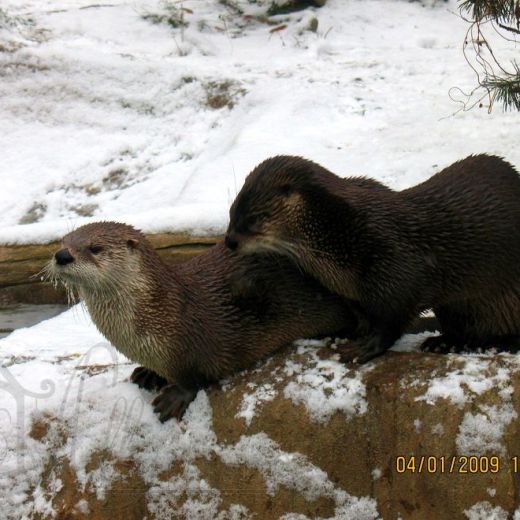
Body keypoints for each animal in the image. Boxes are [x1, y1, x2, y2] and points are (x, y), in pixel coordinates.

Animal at [46, 221, 360, 420]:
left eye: (95, 248)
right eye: (63, 241)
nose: (61, 255)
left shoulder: (190, 342)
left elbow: (195, 376)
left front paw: (173, 397)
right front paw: (149, 374)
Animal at [225, 154, 520, 362]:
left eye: (256, 218)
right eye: (231, 211)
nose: (229, 241)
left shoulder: (396, 266)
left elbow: (394, 317)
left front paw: (364, 348)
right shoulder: (352, 294)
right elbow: (363, 317)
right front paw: (344, 335)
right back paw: (445, 342)